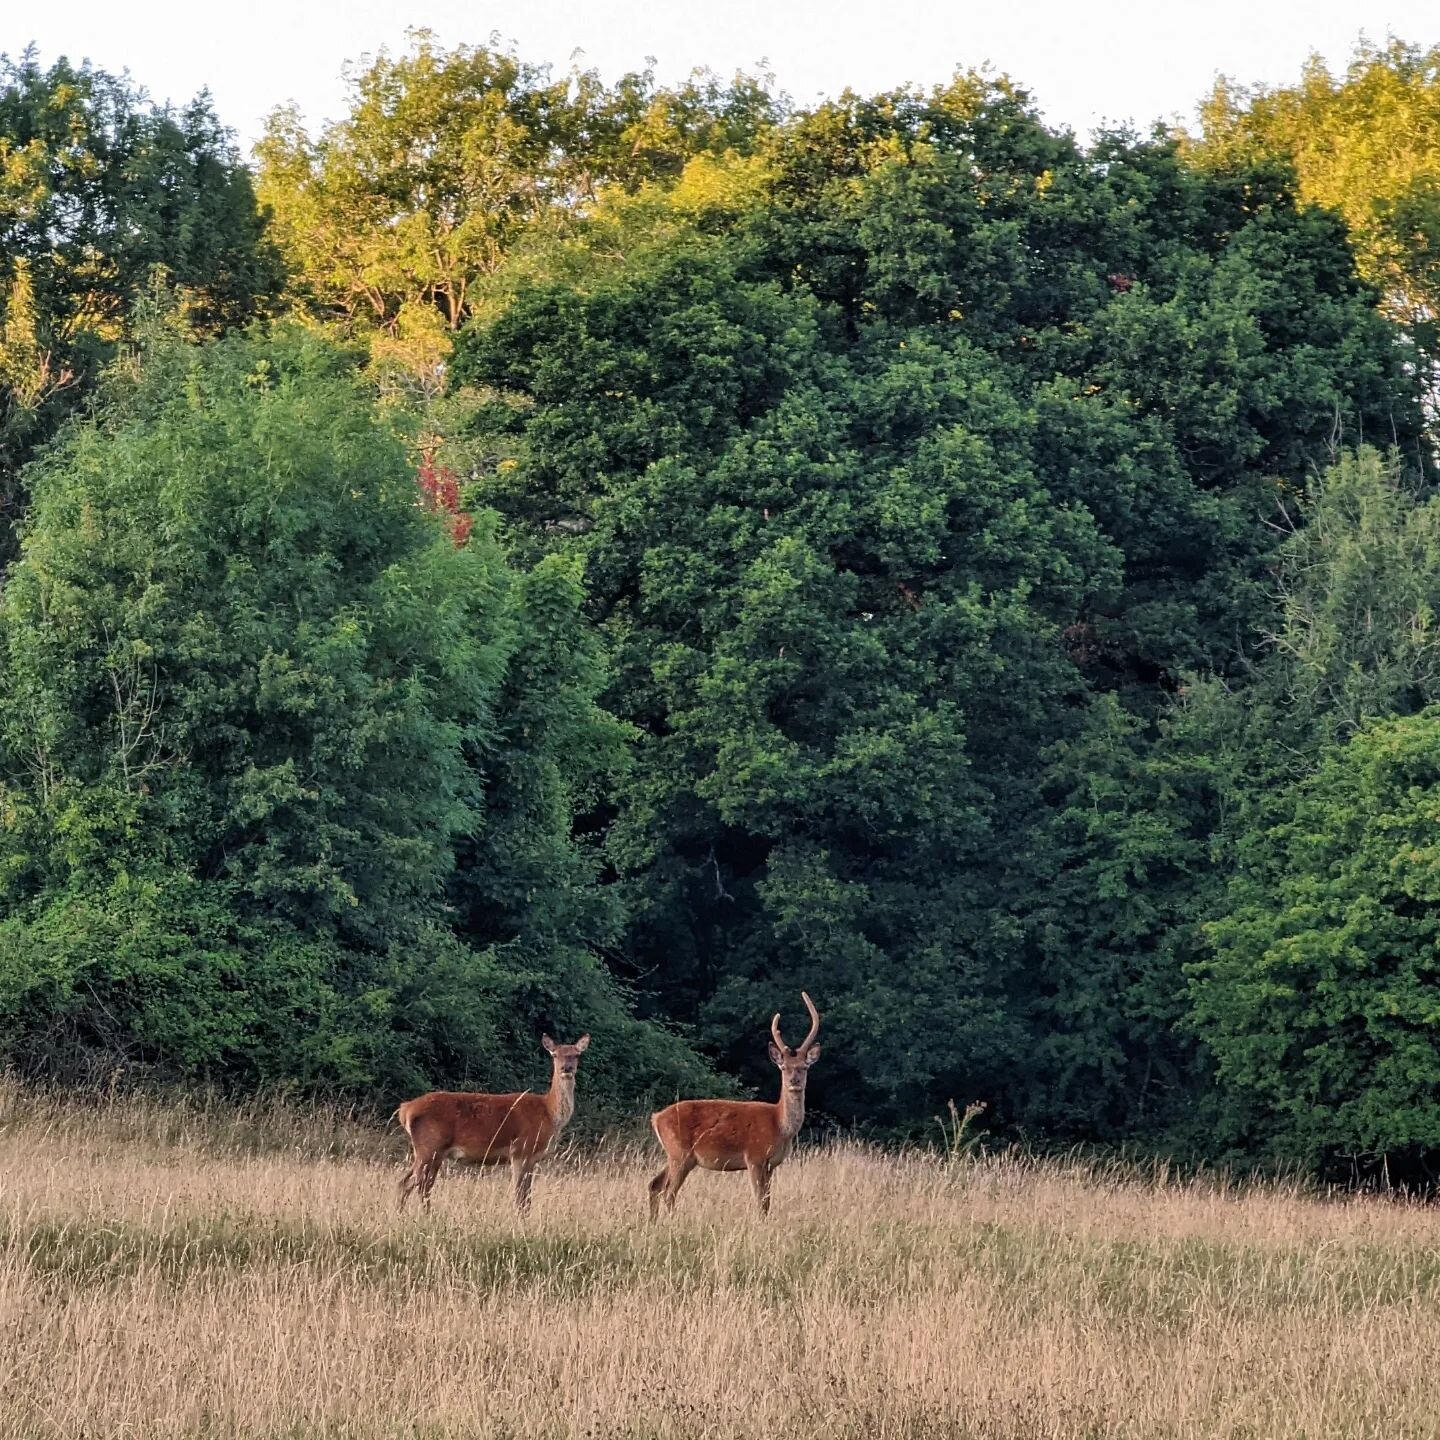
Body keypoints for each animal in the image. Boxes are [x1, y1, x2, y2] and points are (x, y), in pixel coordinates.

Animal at [397, 1036, 587, 1215]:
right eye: (554, 1054)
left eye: (576, 1054)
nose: (566, 1068)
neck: (549, 1112)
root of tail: (405, 1109)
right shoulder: (520, 1151)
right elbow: (520, 1196)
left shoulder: (532, 1159)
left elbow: (527, 1198)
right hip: (429, 1146)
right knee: (411, 1183)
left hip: (433, 1152)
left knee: (419, 1184)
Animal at [653, 996, 823, 1221]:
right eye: (784, 1067)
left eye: (804, 1067)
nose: (794, 1081)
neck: (780, 1126)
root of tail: (656, 1118)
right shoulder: (754, 1157)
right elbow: (760, 1201)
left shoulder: (771, 1164)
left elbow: (767, 1201)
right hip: (679, 1153)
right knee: (668, 1192)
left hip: (674, 1155)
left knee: (655, 1185)